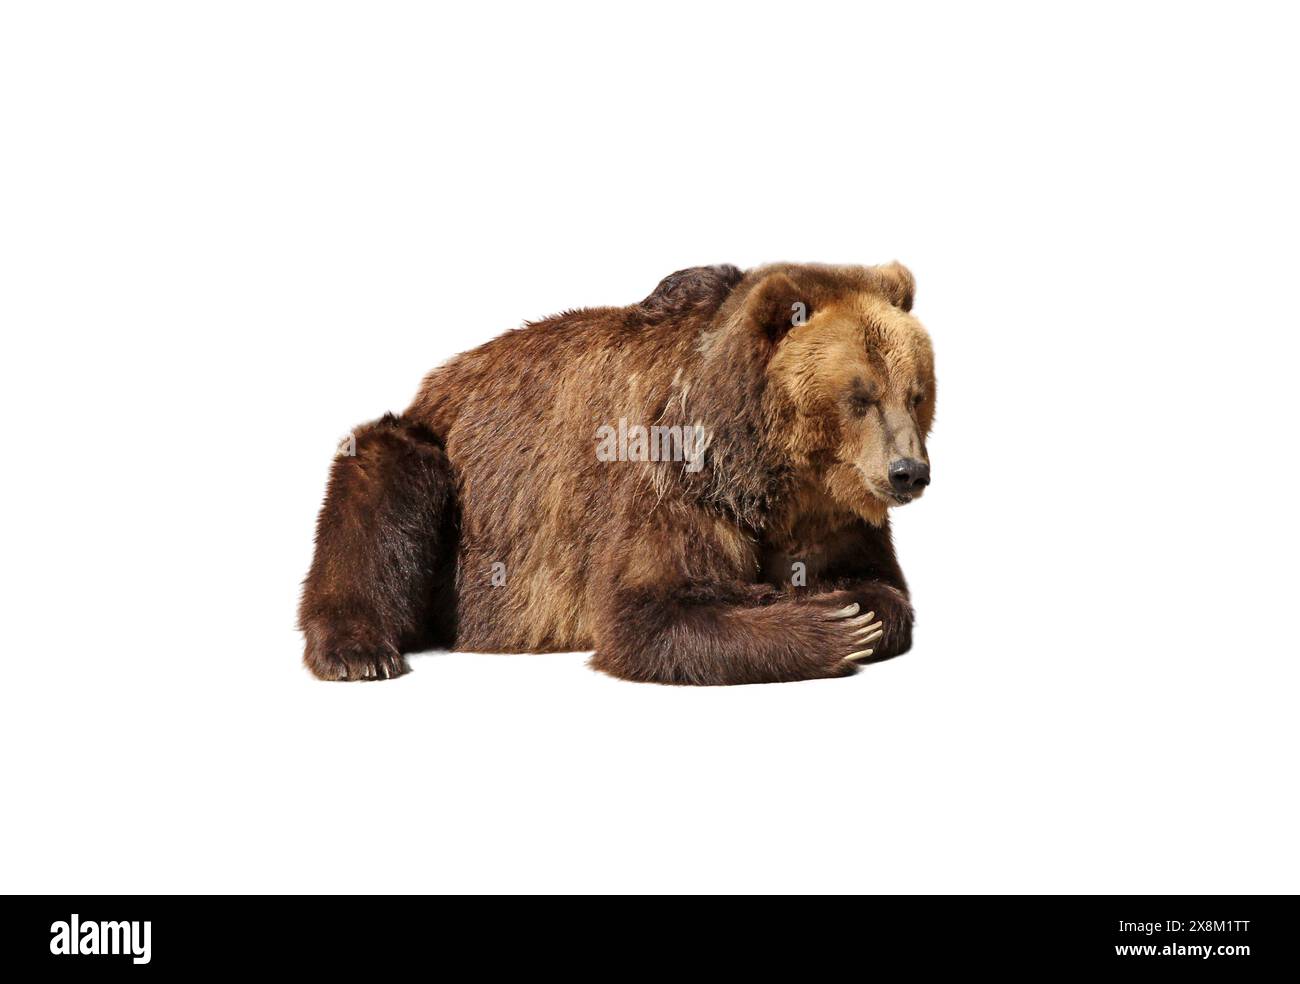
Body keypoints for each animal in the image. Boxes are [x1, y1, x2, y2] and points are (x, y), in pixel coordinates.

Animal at [299, 261, 935, 685]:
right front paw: (831, 625)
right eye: (859, 396)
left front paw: (849, 605)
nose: (909, 471)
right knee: (383, 485)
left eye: (916, 392)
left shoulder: (828, 508)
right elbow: (648, 611)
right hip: (446, 472)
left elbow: (879, 584)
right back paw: (359, 652)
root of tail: (437, 381)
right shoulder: (668, 476)